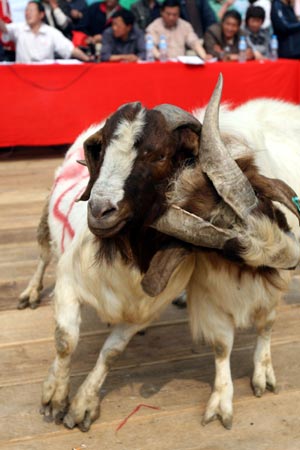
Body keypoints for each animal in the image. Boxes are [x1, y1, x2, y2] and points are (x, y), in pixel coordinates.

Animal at [19, 75, 300, 430]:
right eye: (102, 149)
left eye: (159, 155)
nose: (99, 210)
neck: (124, 257)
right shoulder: (69, 283)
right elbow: (65, 340)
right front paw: (54, 399)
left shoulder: (143, 310)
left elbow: (111, 354)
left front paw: (82, 406)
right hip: (46, 218)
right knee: (43, 252)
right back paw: (29, 294)